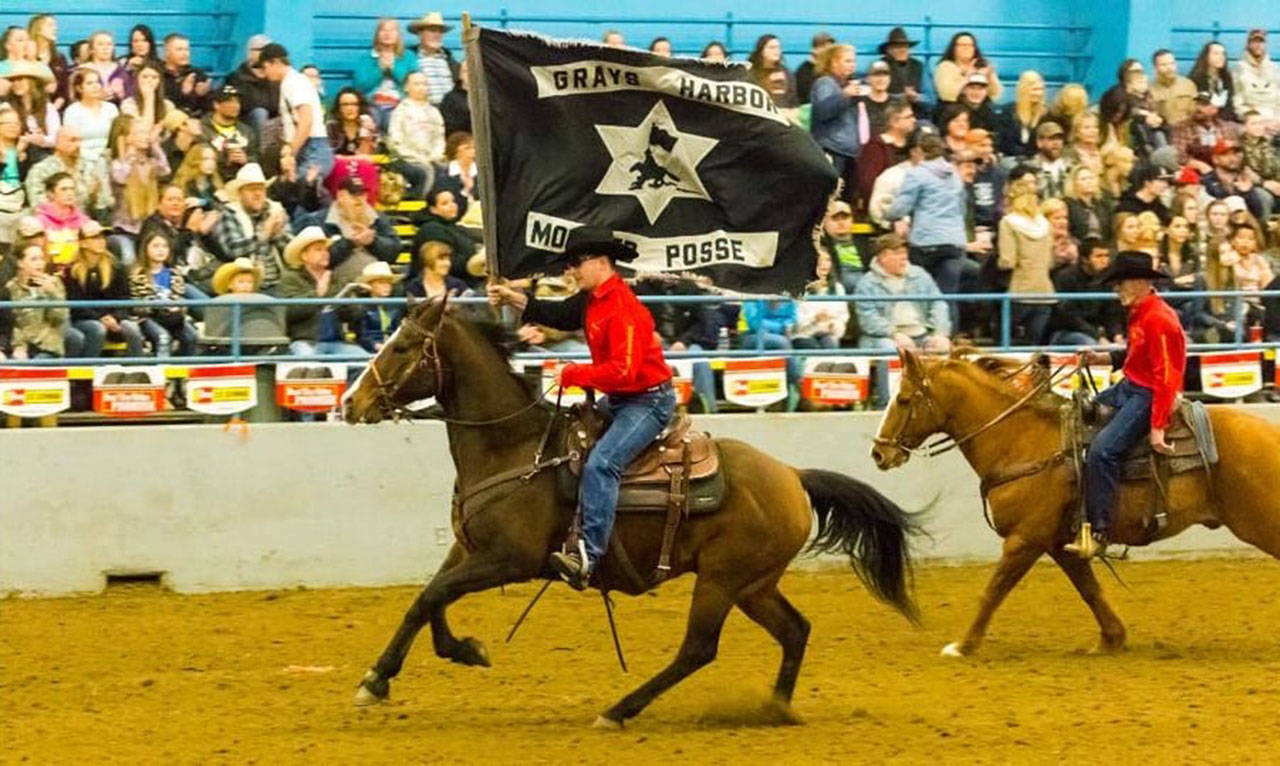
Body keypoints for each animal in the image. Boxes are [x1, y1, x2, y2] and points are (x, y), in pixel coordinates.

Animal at [340, 298, 921, 727]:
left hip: (722, 579)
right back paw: (774, 709)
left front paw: (386, 676)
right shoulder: (470, 548)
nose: (349, 402)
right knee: (795, 630)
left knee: (698, 649)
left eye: (404, 346)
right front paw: (443, 655)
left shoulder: (511, 558)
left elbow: (435, 594)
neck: (514, 447)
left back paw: (619, 710)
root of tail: (793, 476)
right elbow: (428, 598)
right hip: (754, 584)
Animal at [870, 345, 1280, 653]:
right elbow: (1089, 589)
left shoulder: (1024, 539)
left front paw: (963, 645)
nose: (878, 453)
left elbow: (993, 590)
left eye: (903, 400)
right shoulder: (1056, 541)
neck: (1019, 440)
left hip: (1264, 524)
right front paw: (1112, 639)